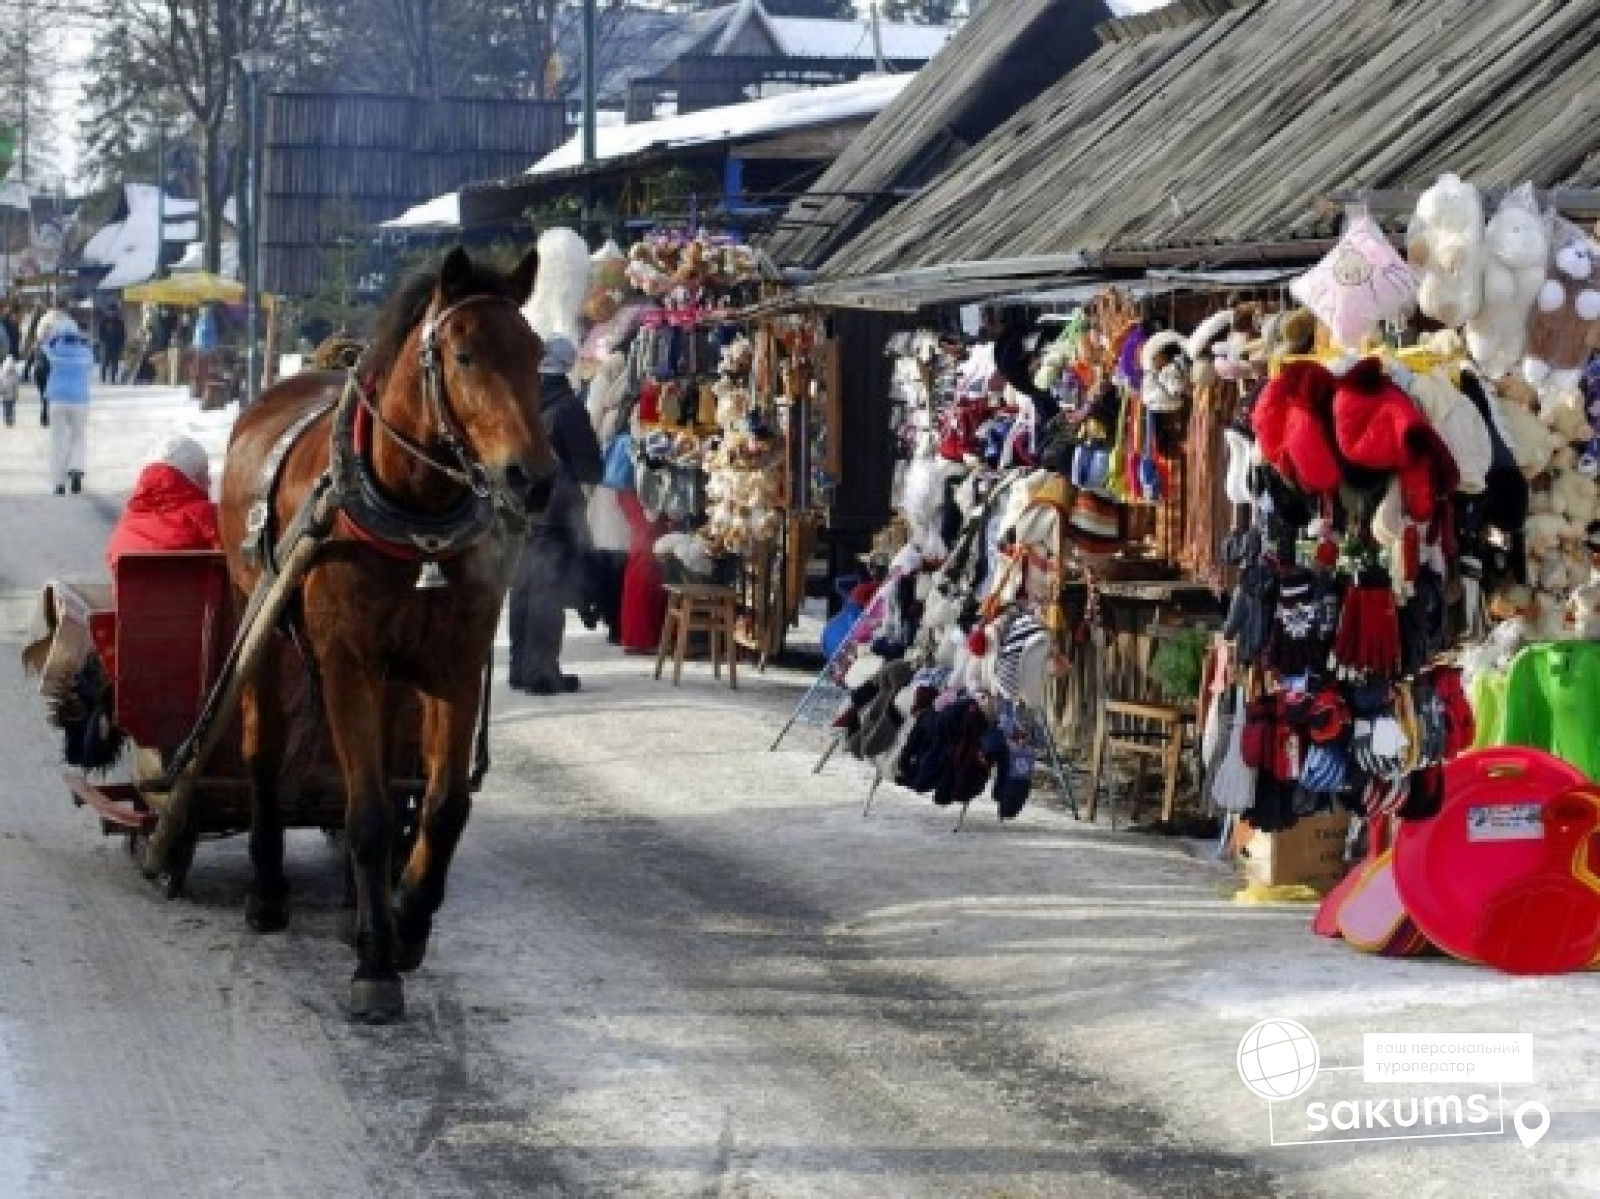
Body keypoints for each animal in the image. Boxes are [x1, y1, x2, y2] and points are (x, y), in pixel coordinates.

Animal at [219, 248, 556, 1024]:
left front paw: (406, 919)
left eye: (536, 353)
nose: (532, 478)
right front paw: (376, 965)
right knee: (263, 751)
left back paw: (357, 904)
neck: (414, 515)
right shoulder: (349, 662)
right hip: (264, 620)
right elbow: (370, 813)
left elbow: (443, 804)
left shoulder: (455, 664)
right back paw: (268, 890)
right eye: (464, 354)